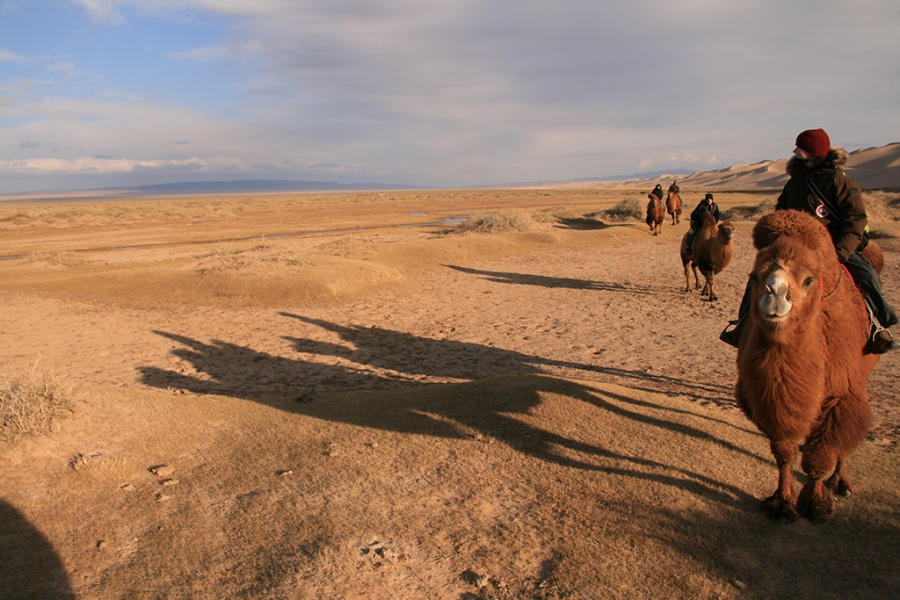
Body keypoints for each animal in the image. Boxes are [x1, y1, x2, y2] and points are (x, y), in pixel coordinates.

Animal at [740, 210, 880, 520]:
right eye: (755, 276)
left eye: (808, 280)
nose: (775, 292)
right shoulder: (769, 401)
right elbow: (784, 452)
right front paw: (782, 502)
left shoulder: (842, 392)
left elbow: (822, 454)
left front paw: (816, 503)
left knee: (844, 441)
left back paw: (840, 482)